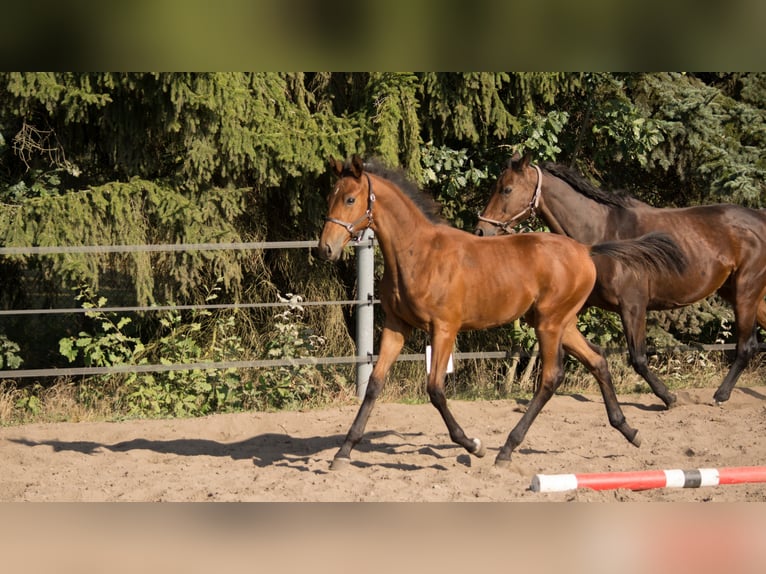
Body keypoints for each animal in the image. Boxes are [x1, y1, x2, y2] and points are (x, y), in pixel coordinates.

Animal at [316, 155, 680, 470]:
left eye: (350, 199)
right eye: (330, 196)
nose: (325, 249)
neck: (418, 254)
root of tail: (586, 250)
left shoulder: (444, 328)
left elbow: (435, 389)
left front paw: (473, 445)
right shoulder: (397, 326)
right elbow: (374, 385)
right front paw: (343, 452)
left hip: (549, 324)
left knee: (551, 378)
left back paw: (506, 449)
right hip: (561, 324)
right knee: (598, 360)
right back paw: (629, 431)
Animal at [476, 154, 764, 410]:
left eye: (506, 189)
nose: (481, 230)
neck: (601, 232)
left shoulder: (633, 306)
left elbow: (638, 358)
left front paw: (669, 398)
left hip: (745, 292)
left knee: (745, 346)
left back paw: (720, 396)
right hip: (740, 292)